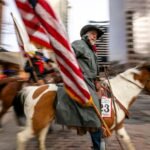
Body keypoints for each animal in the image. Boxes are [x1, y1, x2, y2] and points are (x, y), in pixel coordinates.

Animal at [14, 62, 150, 150]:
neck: (118, 92)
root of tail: (32, 90)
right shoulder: (103, 129)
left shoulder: (118, 126)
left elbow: (127, 141)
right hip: (36, 123)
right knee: (21, 137)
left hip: (44, 123)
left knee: (41, 139)